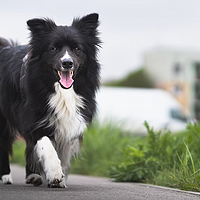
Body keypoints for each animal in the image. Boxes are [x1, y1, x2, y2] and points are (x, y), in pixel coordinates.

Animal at [0, 13, 101, 188]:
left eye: (77, 49)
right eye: (53, 48)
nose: (67, 63)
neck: (61, 90)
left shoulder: (71, 122)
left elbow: (62, 153)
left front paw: (60, 178)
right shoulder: (33, 119)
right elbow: (46, 145)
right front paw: (55, 174)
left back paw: (33, 176)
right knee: (4, 144)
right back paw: (6, 177)